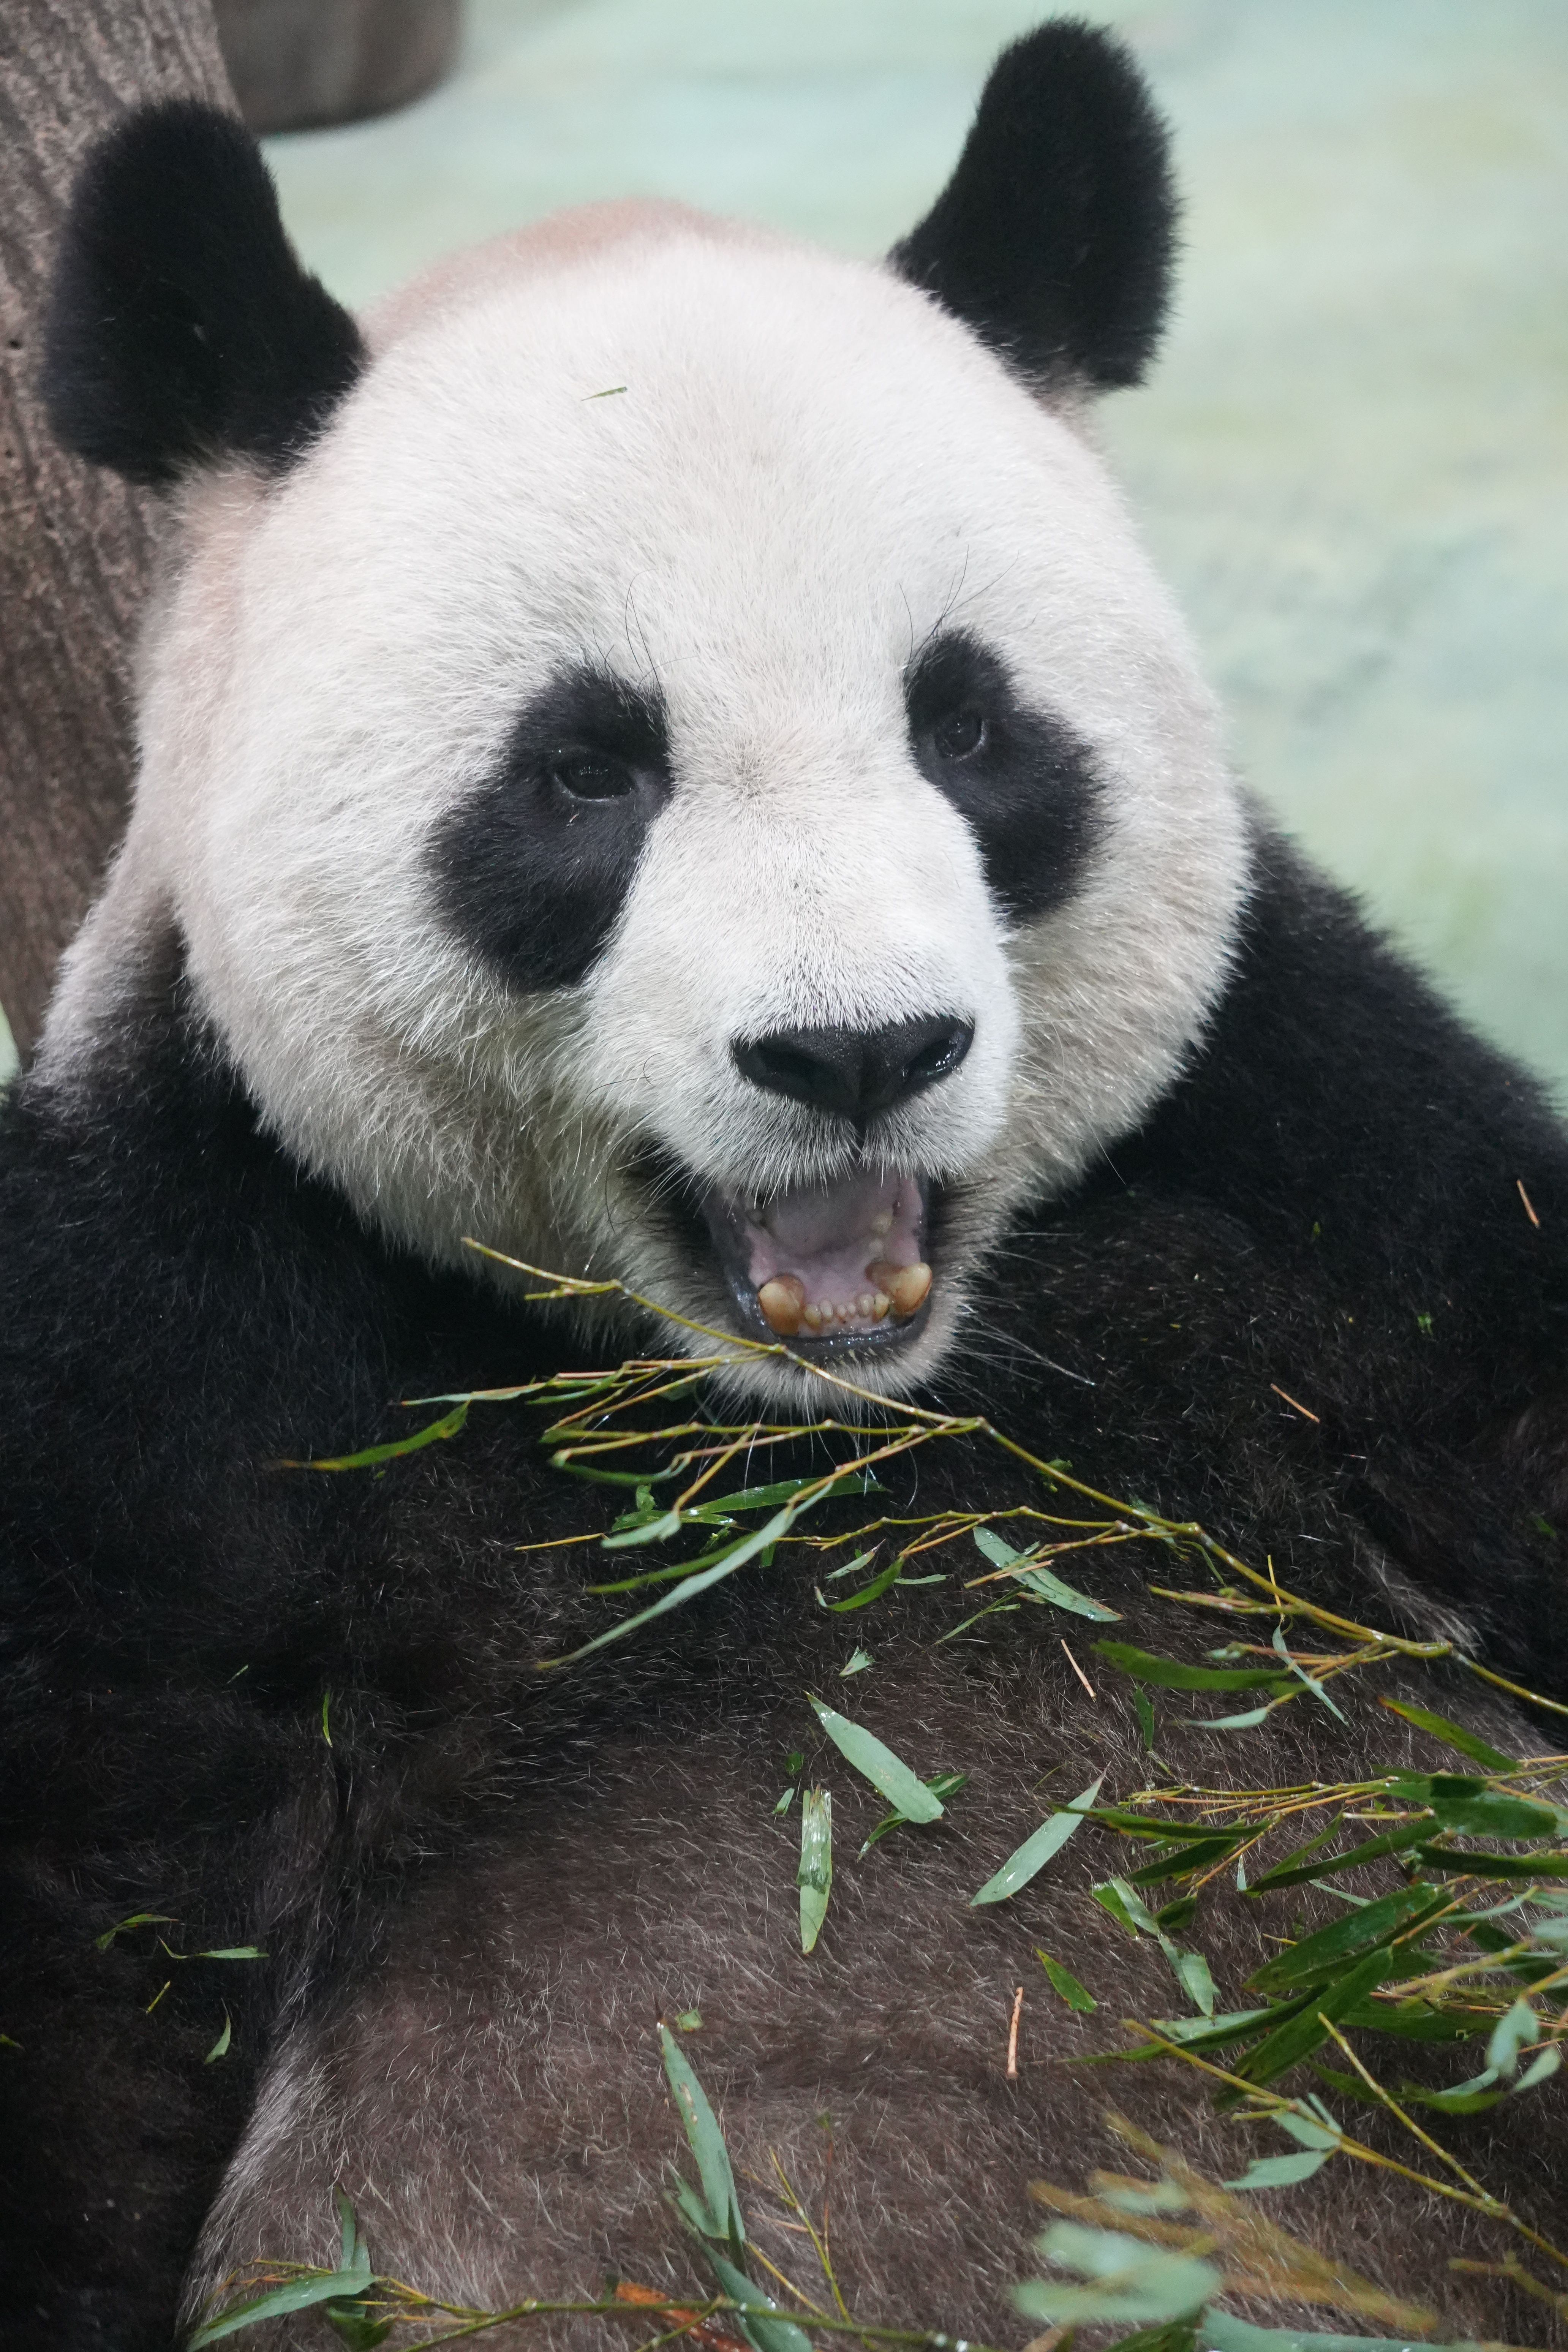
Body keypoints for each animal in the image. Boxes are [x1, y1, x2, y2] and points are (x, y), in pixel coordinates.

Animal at [3, 18, 1568, 2350]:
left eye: (968, 726)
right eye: (586, 769)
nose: (858, 1053)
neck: (787, 1416)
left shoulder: (1310, 1176)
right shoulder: (192, 1360)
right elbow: (89, 1929)